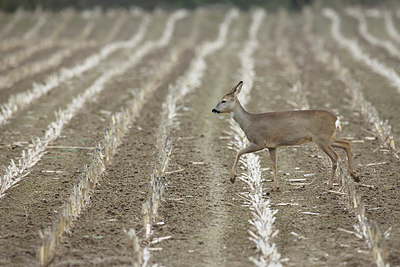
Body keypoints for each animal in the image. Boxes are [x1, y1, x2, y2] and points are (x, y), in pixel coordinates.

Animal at [212, 80, 360, 192]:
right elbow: (274, 165)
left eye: (223, 100)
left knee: (335, 157)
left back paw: (330, 186)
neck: (249, 122)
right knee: (346, 144)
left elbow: (239, 152)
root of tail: (336, 119)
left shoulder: (259, 141)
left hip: (321, 139)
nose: (214, 109)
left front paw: (232, 178)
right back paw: (355, 175)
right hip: (327, 138)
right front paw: (275, 187)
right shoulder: (272, 146)